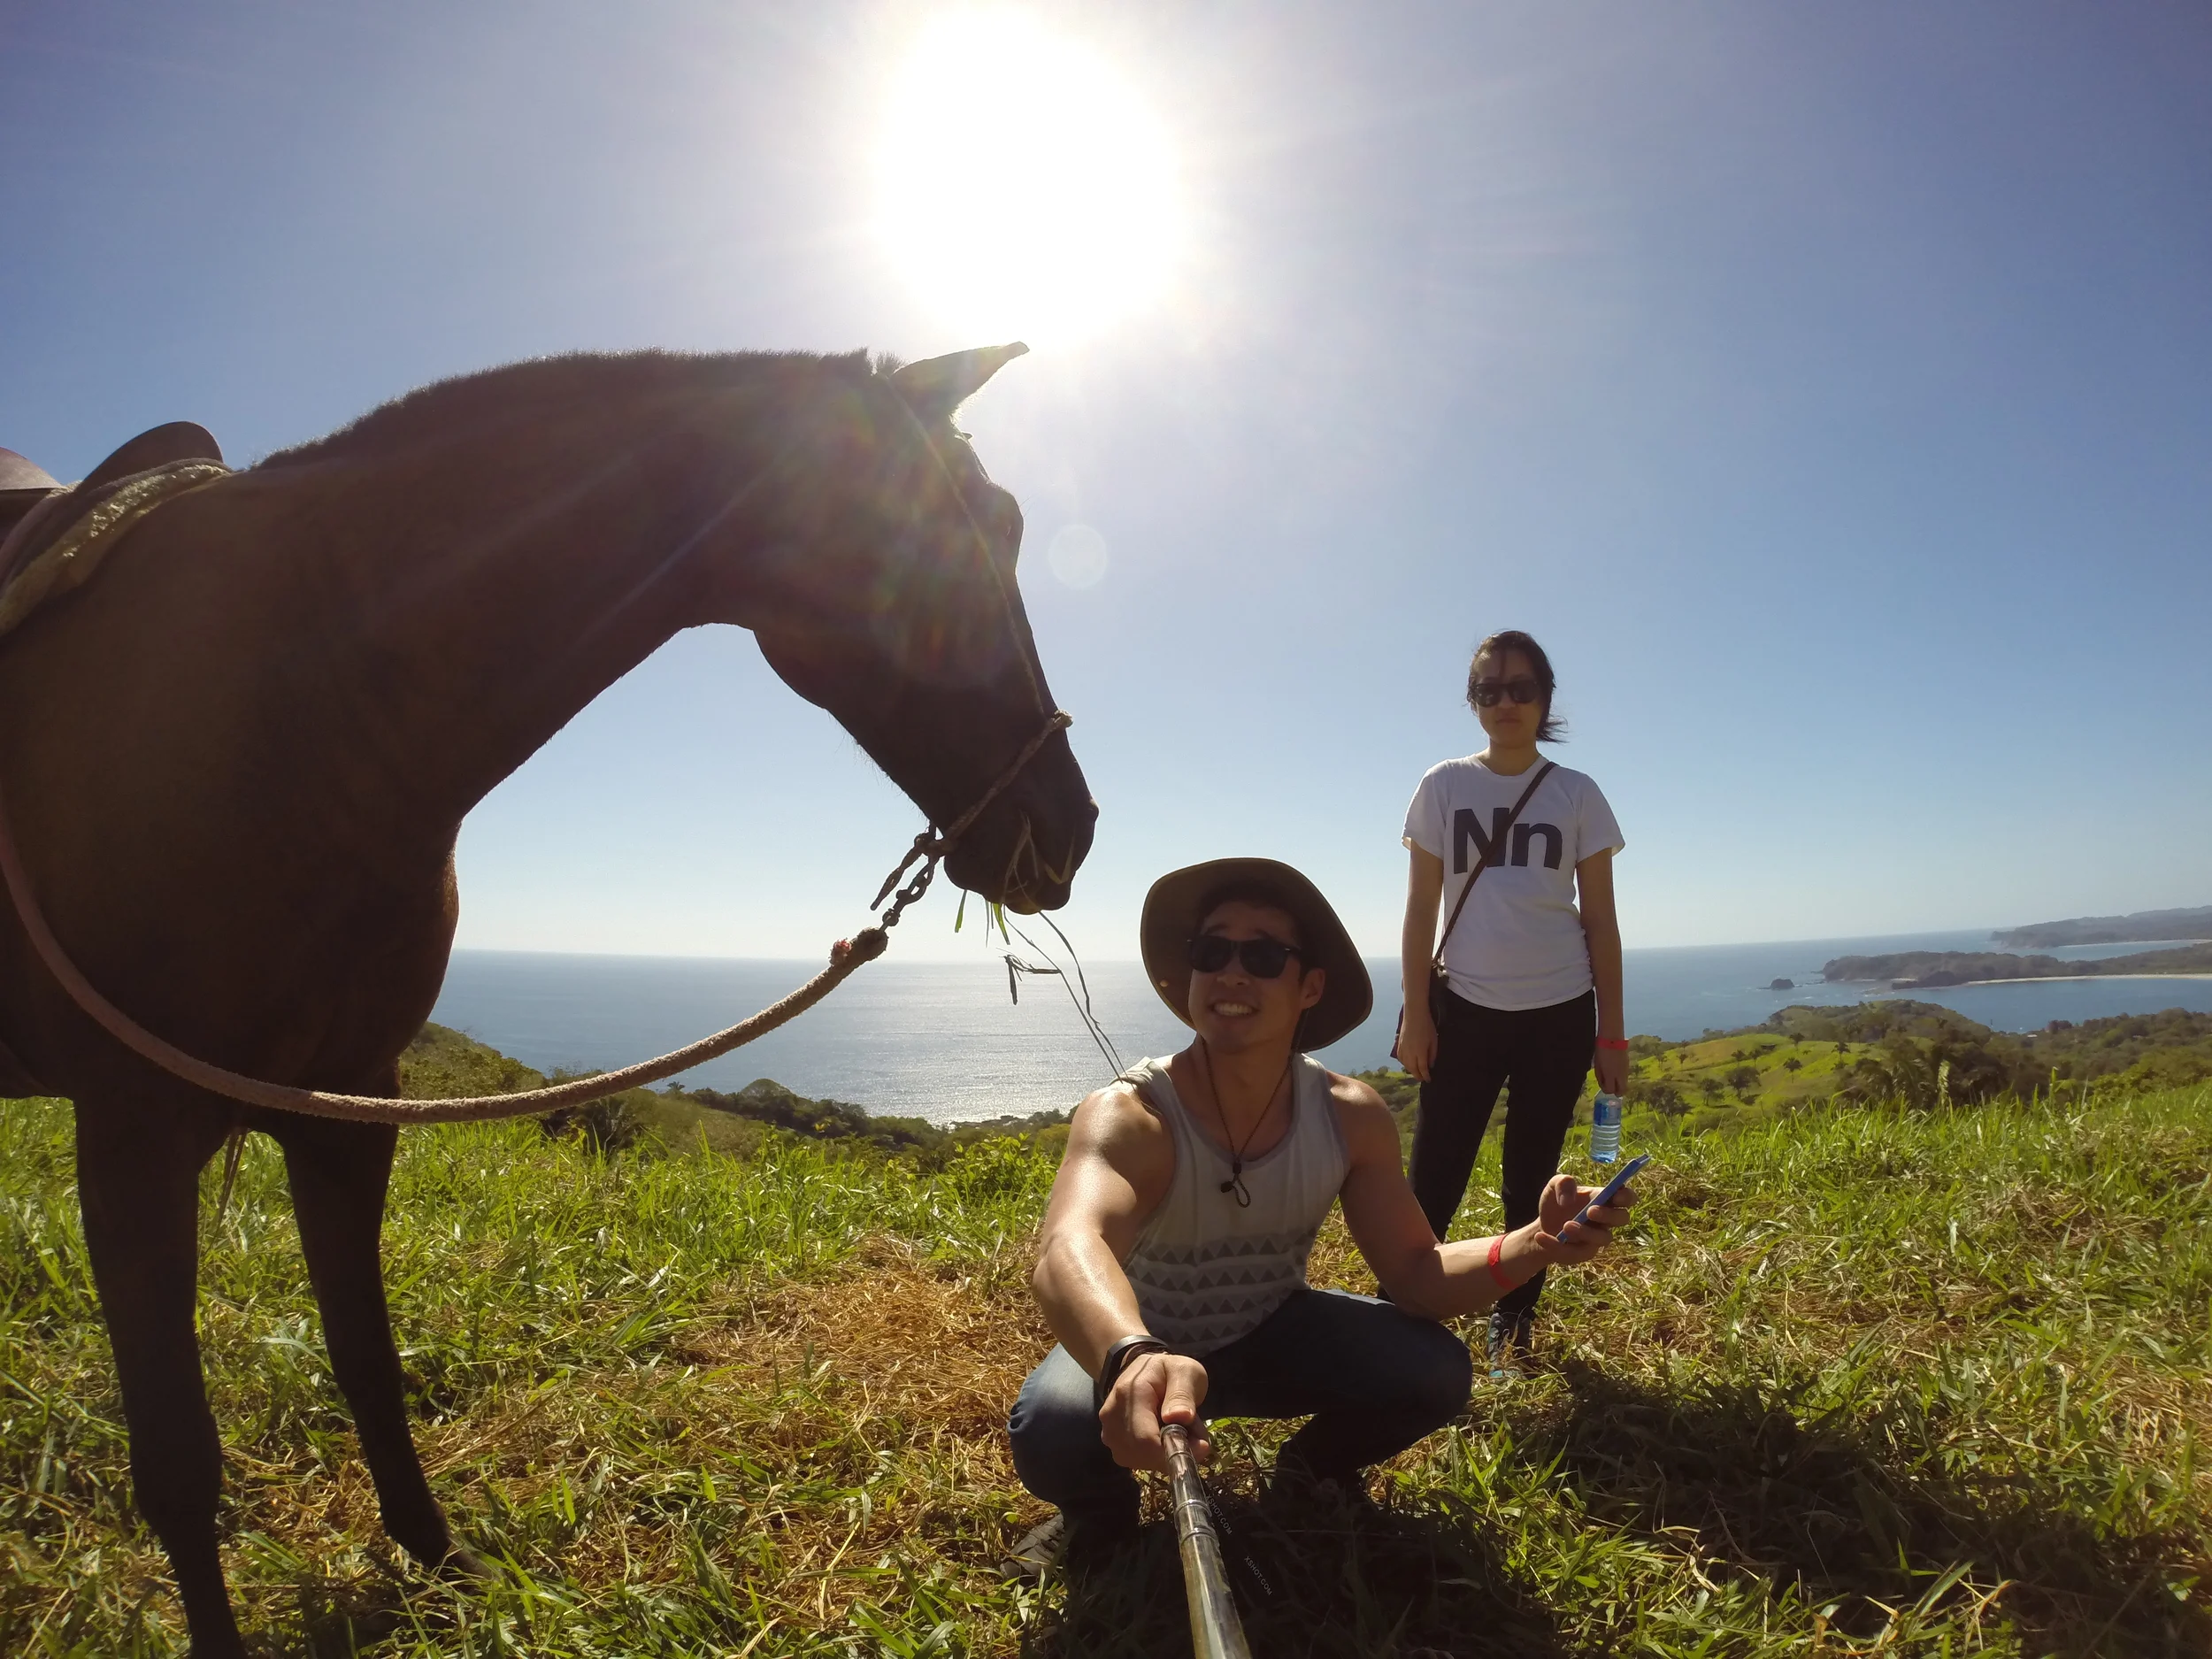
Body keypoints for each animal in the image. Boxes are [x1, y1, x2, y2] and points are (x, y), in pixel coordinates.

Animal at [0, 343, 1095, 1656]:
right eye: (968, 525)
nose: (1070, 824)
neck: (302, 694)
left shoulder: (348, 1102)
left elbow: (366, 1356)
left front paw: (442, 1567)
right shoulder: (134, 1134)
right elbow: (178, 1463)